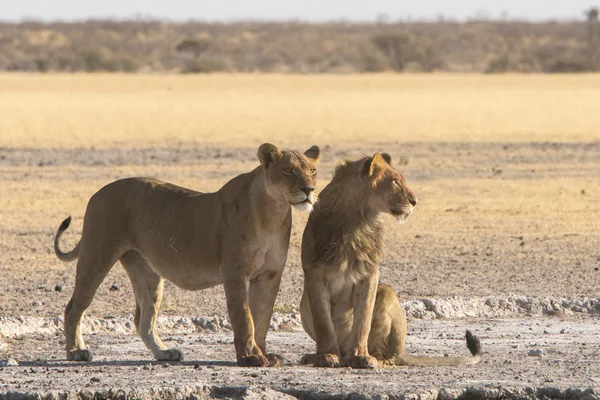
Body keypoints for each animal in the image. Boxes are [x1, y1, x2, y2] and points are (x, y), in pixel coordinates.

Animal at [54, 142, 322, 368]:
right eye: (288, 171)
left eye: (313, 170)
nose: (309, 189)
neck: (273, 213)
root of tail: (98, 193)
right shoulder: (235, 273)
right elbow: (244, 317)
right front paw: (250, 357)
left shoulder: (269, 275)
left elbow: (262, 318)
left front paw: (264, 354)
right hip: (97, 254)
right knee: (74, 307)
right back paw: (76, 351)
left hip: (147, 272)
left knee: (143, 319)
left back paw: (164, 352)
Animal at [300, 152, 482, 368]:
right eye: (394, 181)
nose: (415, 201)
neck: (357, 222)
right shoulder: (315, 273)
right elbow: (323, 322)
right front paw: (326, 355)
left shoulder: (370, 274)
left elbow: (363, 320)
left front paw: (360, 356)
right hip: (304, 305)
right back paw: (317, 356)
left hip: (387, 294)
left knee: (388, 357)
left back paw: (371, 360)